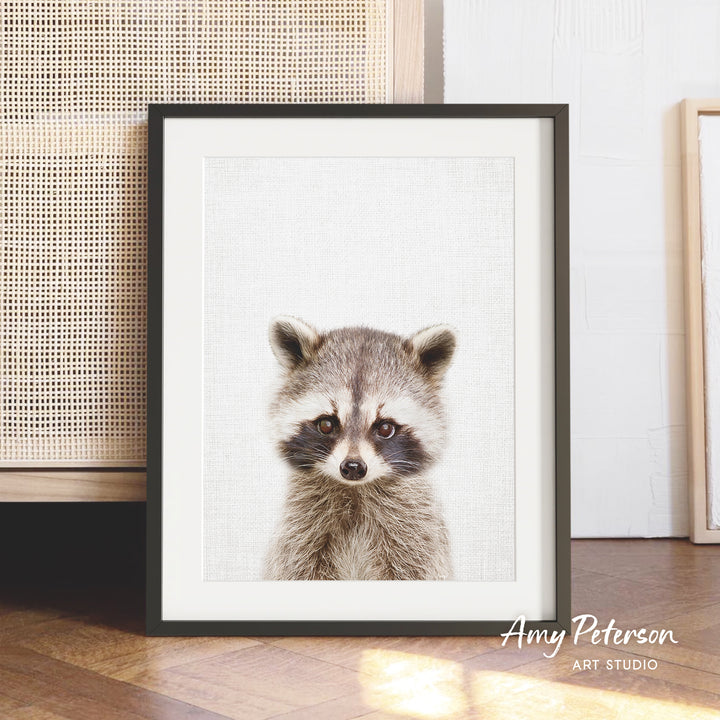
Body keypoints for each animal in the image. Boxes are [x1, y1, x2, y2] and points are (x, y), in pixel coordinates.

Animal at [264, 316, 456, 581]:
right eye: (326, 424)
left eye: (385, 428)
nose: (353, 467)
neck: (354, 491)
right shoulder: (299, 533)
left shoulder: (417, 535)